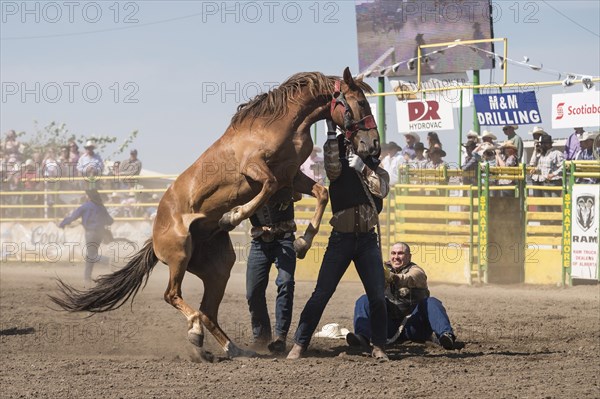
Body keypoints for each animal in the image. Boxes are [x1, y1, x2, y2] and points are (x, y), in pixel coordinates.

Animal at [51, 67, 380, 360]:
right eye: (361, 102)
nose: (373, 145)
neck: (279, 125)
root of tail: (154, 236)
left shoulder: (291, 177)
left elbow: (321, 193)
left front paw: (301, 243)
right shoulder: (255, 169)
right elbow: (268, 187)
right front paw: (231, 216)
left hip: (218, 266)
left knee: (208, 310)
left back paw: (234, 349)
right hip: (179, 255)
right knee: (173, 295)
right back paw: (196, 333)